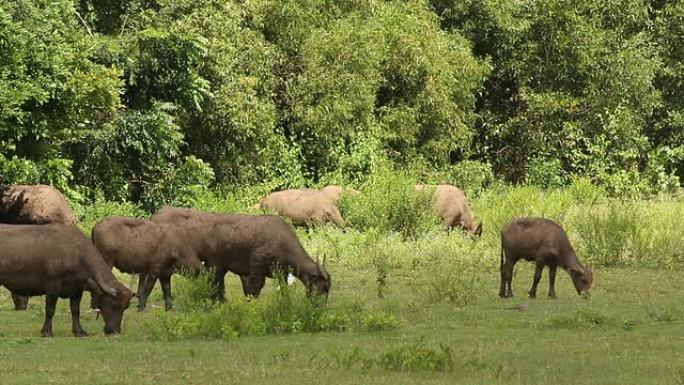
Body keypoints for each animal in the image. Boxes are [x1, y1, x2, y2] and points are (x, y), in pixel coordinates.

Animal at [0, 224, 134, 334]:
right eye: (114, 305)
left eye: (125, 307)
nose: (115, 331)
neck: (76, 254)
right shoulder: (52, 286)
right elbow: (50, 309)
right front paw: (47, 331)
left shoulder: (77, 289)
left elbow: (75, 310)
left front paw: (78, 331)